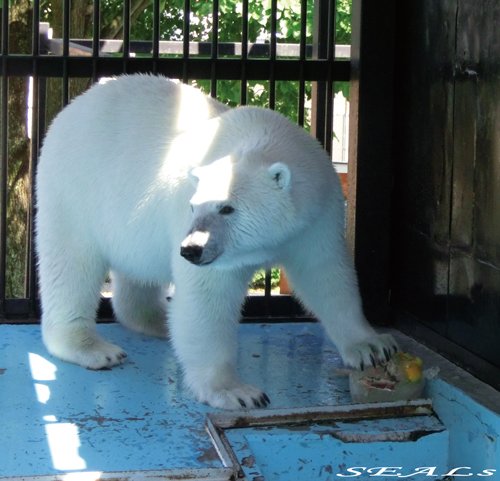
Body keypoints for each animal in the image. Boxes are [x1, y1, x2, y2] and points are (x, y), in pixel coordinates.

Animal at [35, 75, 396, 408]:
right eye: (194, 206)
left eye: (227, 207)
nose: (190, 250)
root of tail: (76, 104)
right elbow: (207, 300)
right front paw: (237, 392)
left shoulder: (315, 217)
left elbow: (327, 275)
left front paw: (373, 347)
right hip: (74, 188)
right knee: (71, 265)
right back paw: (92, 348)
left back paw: (159, 320)